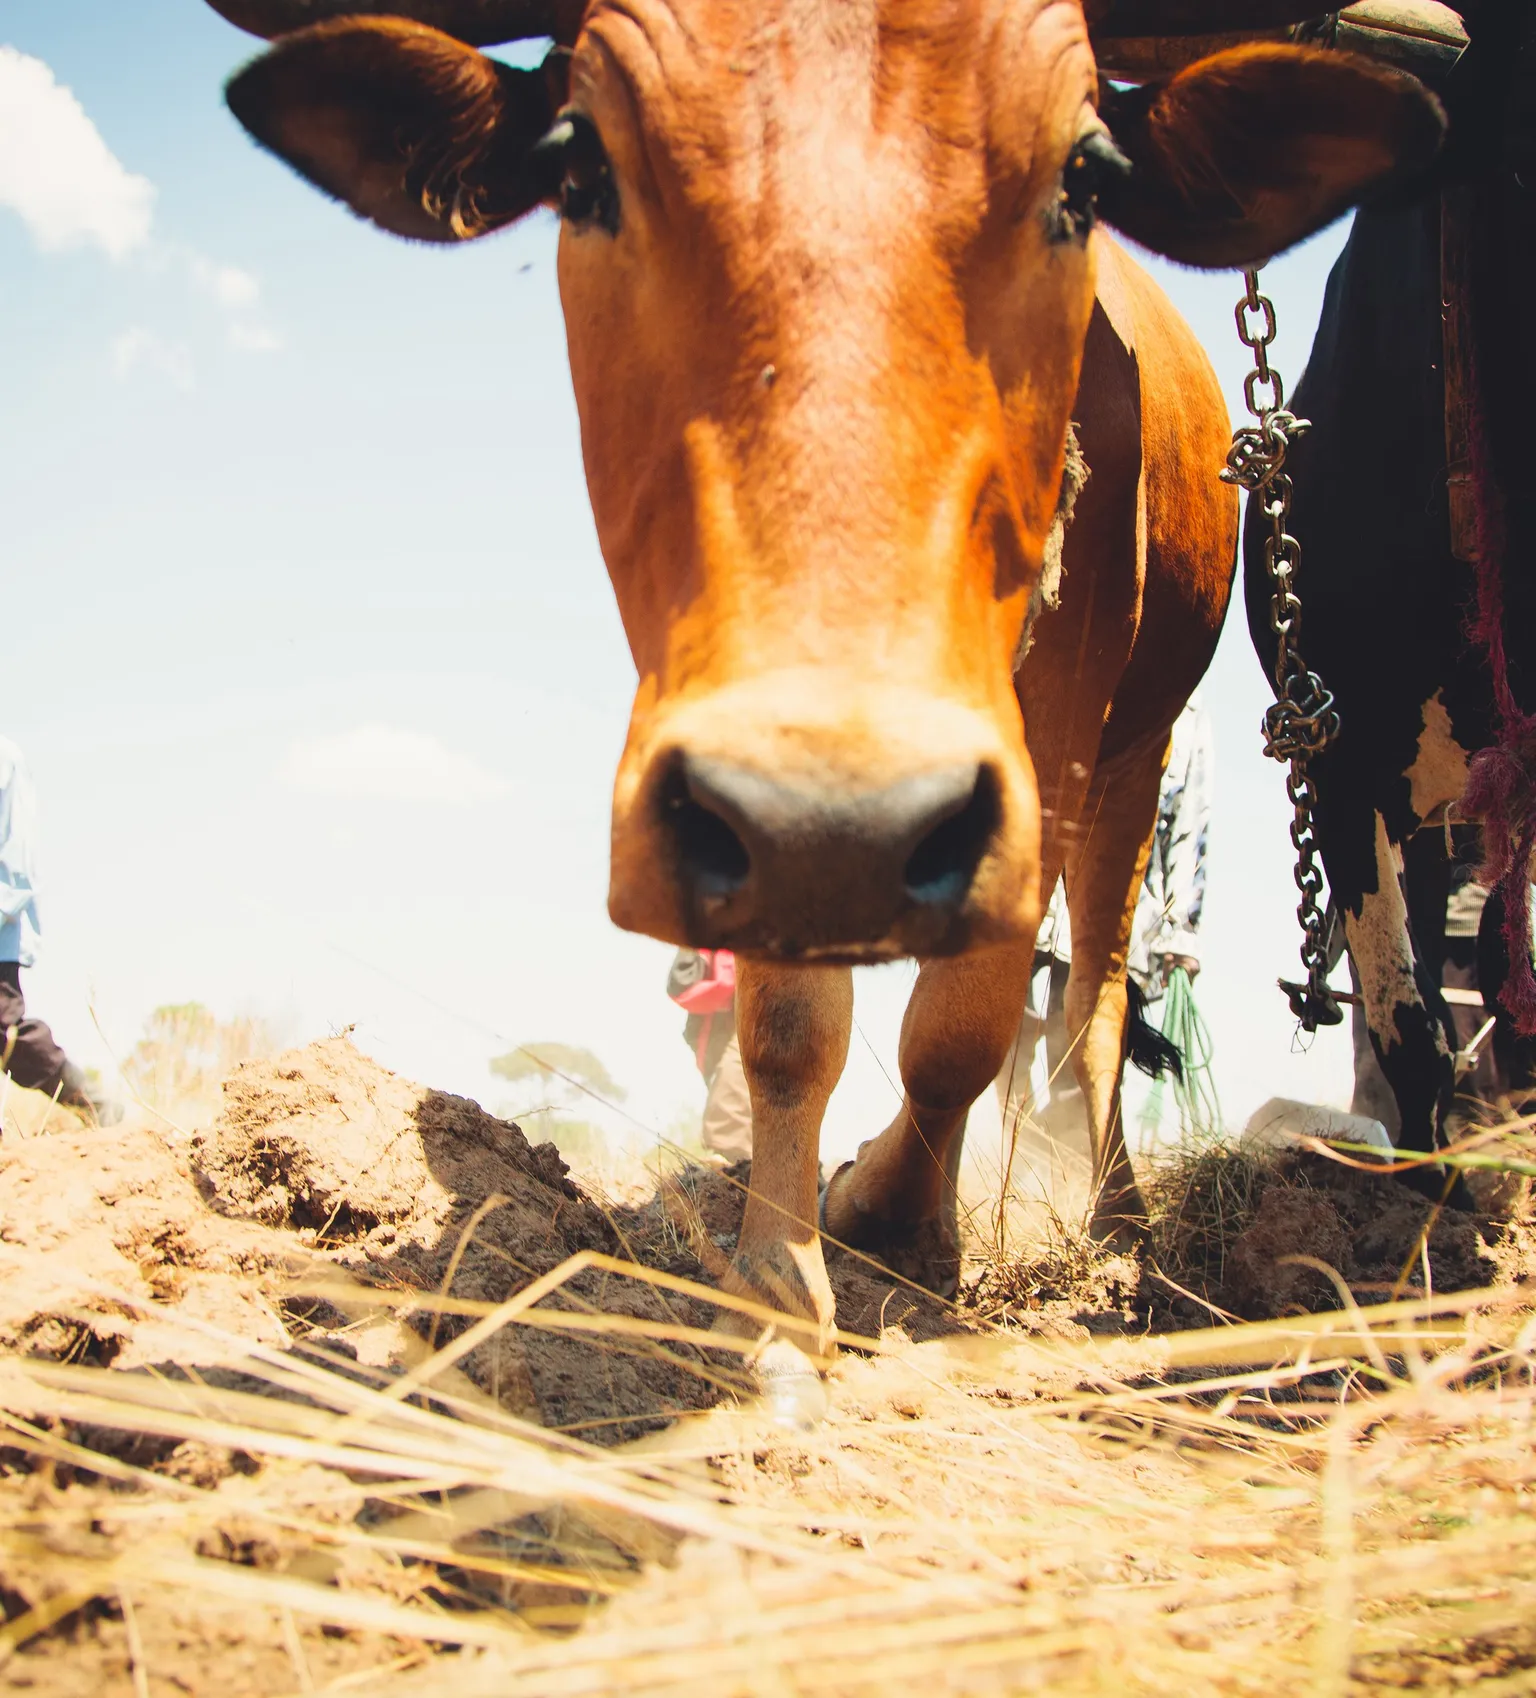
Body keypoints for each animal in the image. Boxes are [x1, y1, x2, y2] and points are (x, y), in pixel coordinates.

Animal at [201, 0, 1439, 1351]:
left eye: (1082, 179)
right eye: (580, 170)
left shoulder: (1053, 734)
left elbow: (964, 1019)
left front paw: (896, 1218)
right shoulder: (740, 777)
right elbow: (791, 1021)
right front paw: (775, 1273)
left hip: (1137, 758)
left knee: (1095, 1007)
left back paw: (1117, 1231)